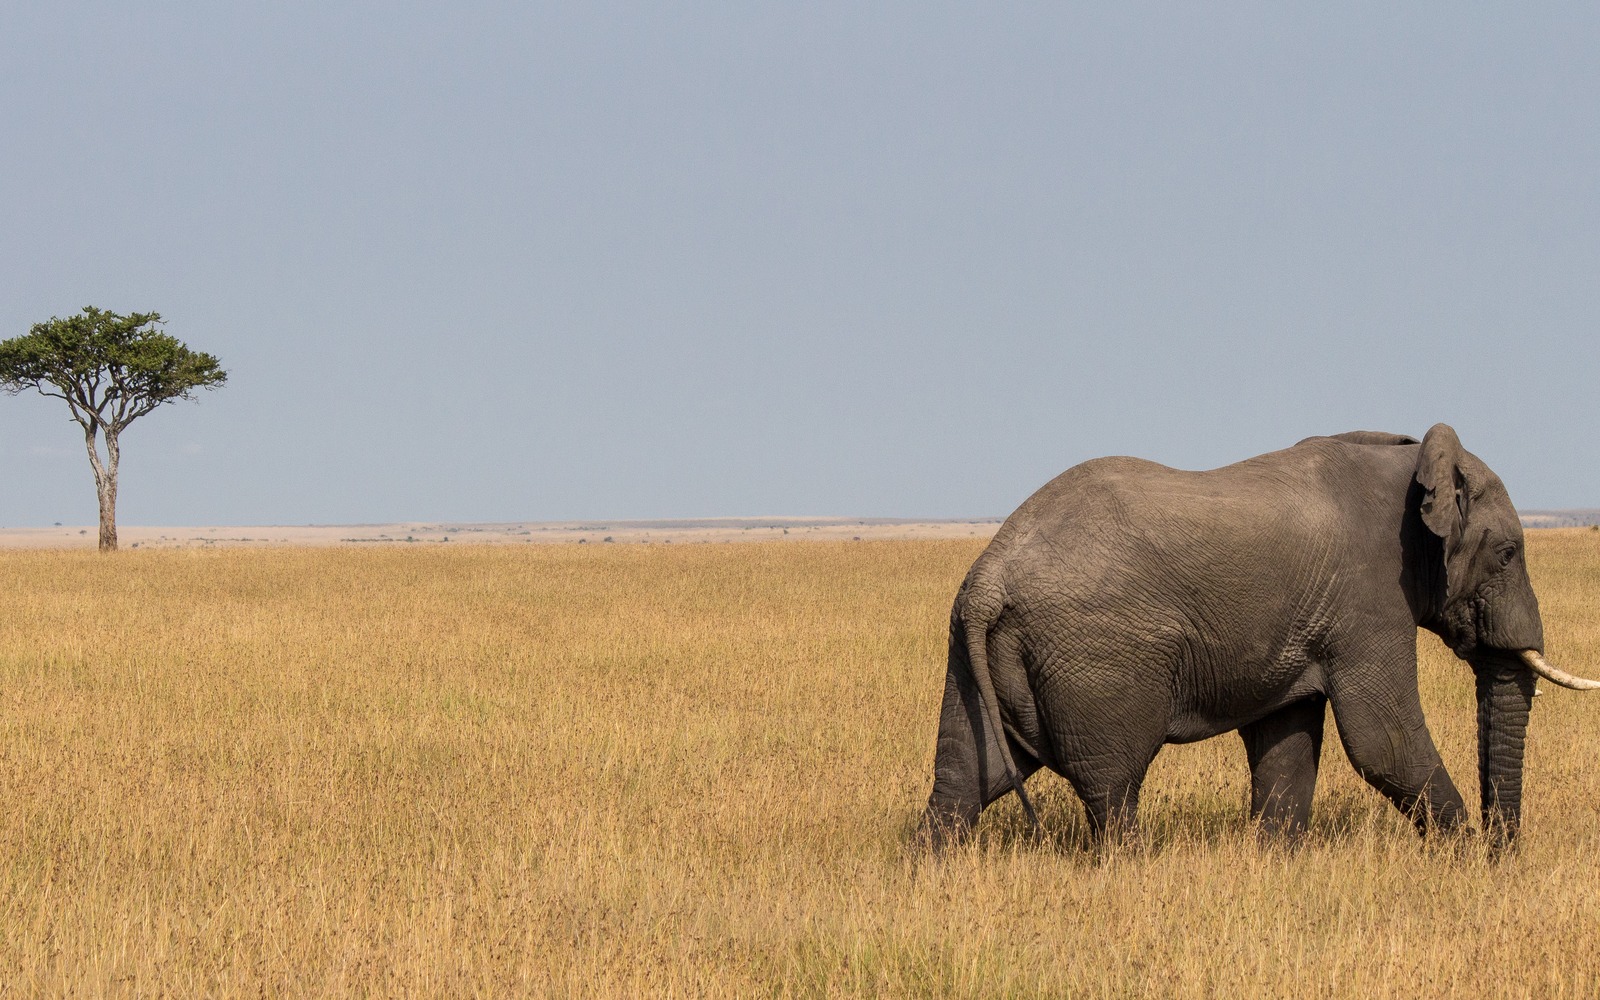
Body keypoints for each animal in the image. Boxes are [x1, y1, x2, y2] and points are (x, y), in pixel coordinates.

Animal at [921, 424, 1597, 850]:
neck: (1411, 463)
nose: (1504, 852)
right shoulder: (1370, 596)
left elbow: (1288, 738)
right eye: (1508, 554)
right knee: (1111, 788)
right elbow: (1383, 740)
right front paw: (1464, 861)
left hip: (977, 653)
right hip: (1096, 656)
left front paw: (1275, 859)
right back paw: (1129, 868)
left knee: (966, 779)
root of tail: (990, 574)